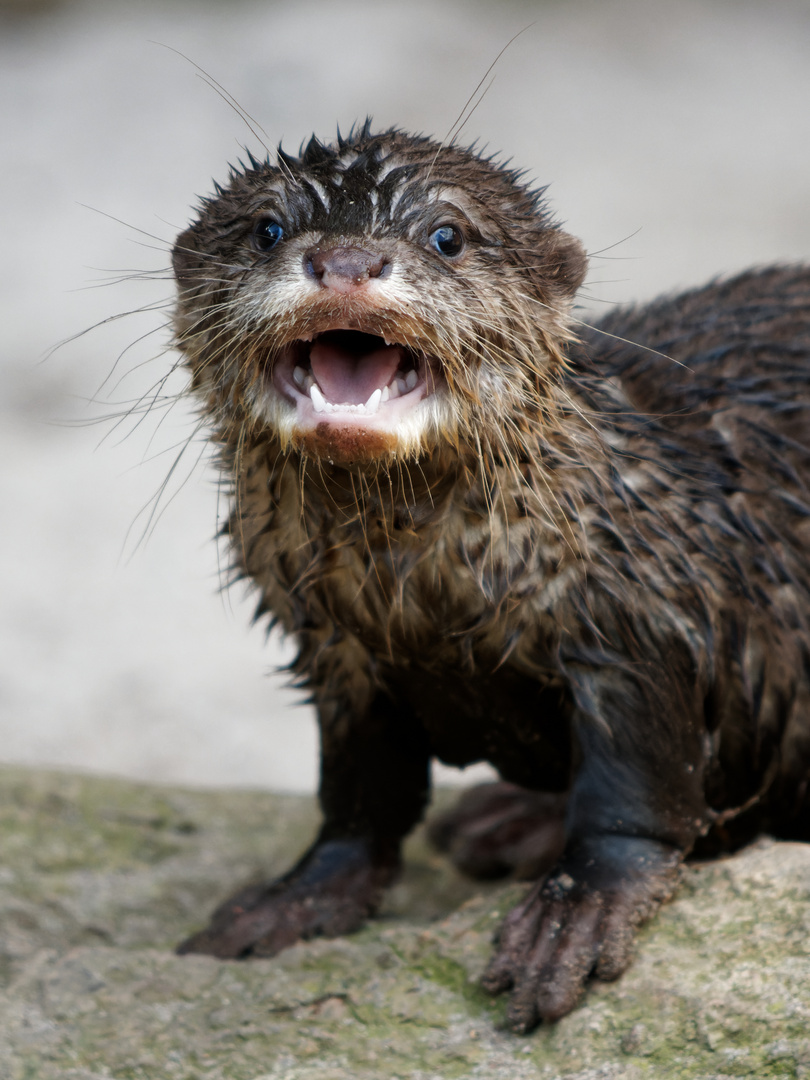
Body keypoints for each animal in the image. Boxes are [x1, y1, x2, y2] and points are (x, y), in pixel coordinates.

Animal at [169, 124, 810, 1028]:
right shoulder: (337, 649)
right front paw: (293, 898)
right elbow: (358, 797)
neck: (426, 595)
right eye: (266, 228)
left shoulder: (637, 617)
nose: (346, 258)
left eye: (448, 235)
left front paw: (575, 916)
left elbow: (638, 794)